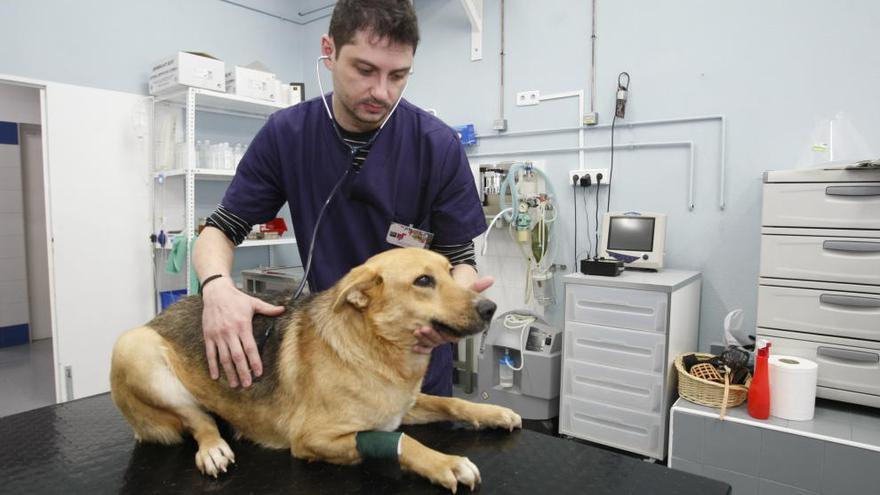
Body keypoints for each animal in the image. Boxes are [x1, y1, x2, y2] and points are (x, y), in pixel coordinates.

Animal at [110, 248, 524, 492]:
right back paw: (213, 448)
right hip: (135, 350)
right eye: (423, 281)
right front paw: (446, 463)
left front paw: (492, 412)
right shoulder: (314, 439)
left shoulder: (401, 407)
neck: (374, 347)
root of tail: (162, 314)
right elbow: (405, 443)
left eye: (451, 273)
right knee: (199, 419)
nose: (490, 308)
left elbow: (450, 403)